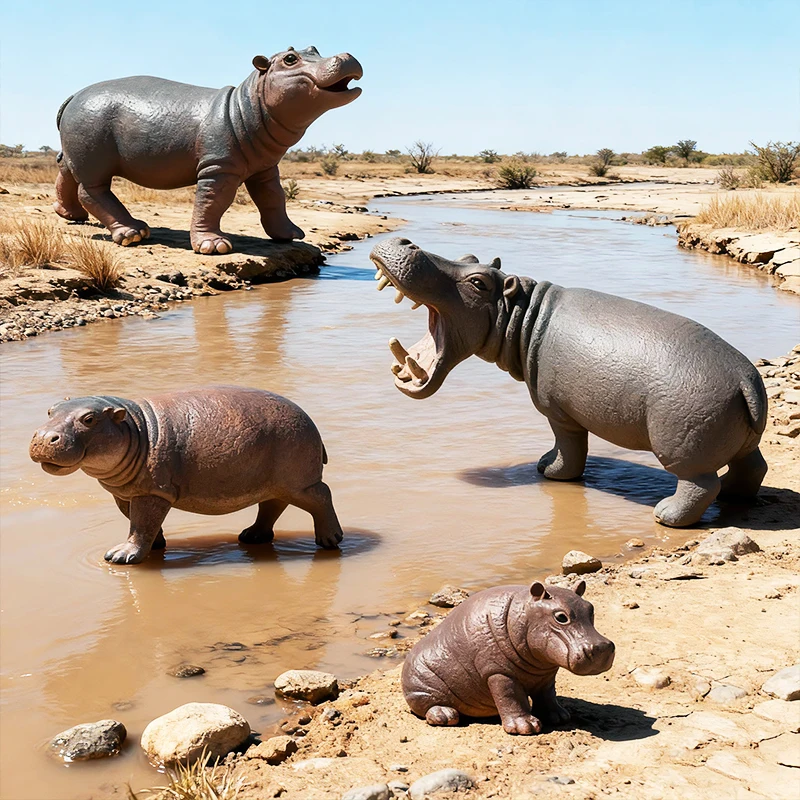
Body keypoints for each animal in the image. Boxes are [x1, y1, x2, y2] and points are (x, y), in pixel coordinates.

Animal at [29, 387, 343, 563]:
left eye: (89, 419)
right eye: (50, 410)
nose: (43, 437)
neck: (134, 428)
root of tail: (309, 419)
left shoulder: (152, 492)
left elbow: (141, 524)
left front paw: (120, 557)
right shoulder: (126, 493)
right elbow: (140, 523)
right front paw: (156, 546)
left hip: (300, 480)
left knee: (321, 496)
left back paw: (330, 541)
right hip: (274, 482)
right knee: (272, 504)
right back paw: (251, 537)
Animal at [54, 46, 362, 253]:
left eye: (314, 48)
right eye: (290, 59)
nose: (347, 55)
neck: (248, 103)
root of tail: (74, 95)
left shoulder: (264, 168)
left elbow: (273, 198)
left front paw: (291, 235)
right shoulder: (219, 167)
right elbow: (213, 201)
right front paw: (214, 247)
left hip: (79, 148)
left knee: (66, 171)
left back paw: (72, 216)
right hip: (94, 151)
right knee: (92, 190)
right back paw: (134, 234)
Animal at [369, 237, 768, 527]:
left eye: (478, 282)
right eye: (468, 256)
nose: (406, 241)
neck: (522, 315)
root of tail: (744, 379)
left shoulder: (558, 411)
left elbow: (570, 447)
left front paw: (549, 471)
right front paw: (545, 464)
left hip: (682, 446)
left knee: (700, 483)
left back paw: (666, 515)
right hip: (741, 438)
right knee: (752, 467)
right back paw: (732, 496)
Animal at [402, 580, 614, 734]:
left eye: (591, 609)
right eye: (560, 617)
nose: (602, 648)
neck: (525, 614)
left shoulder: (545, 674)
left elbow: (548, 695)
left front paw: (561, 717)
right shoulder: (498, 672)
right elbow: (510, 696)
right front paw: (526, 727)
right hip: (421, 688)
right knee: (428, 706)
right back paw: (445, 715)